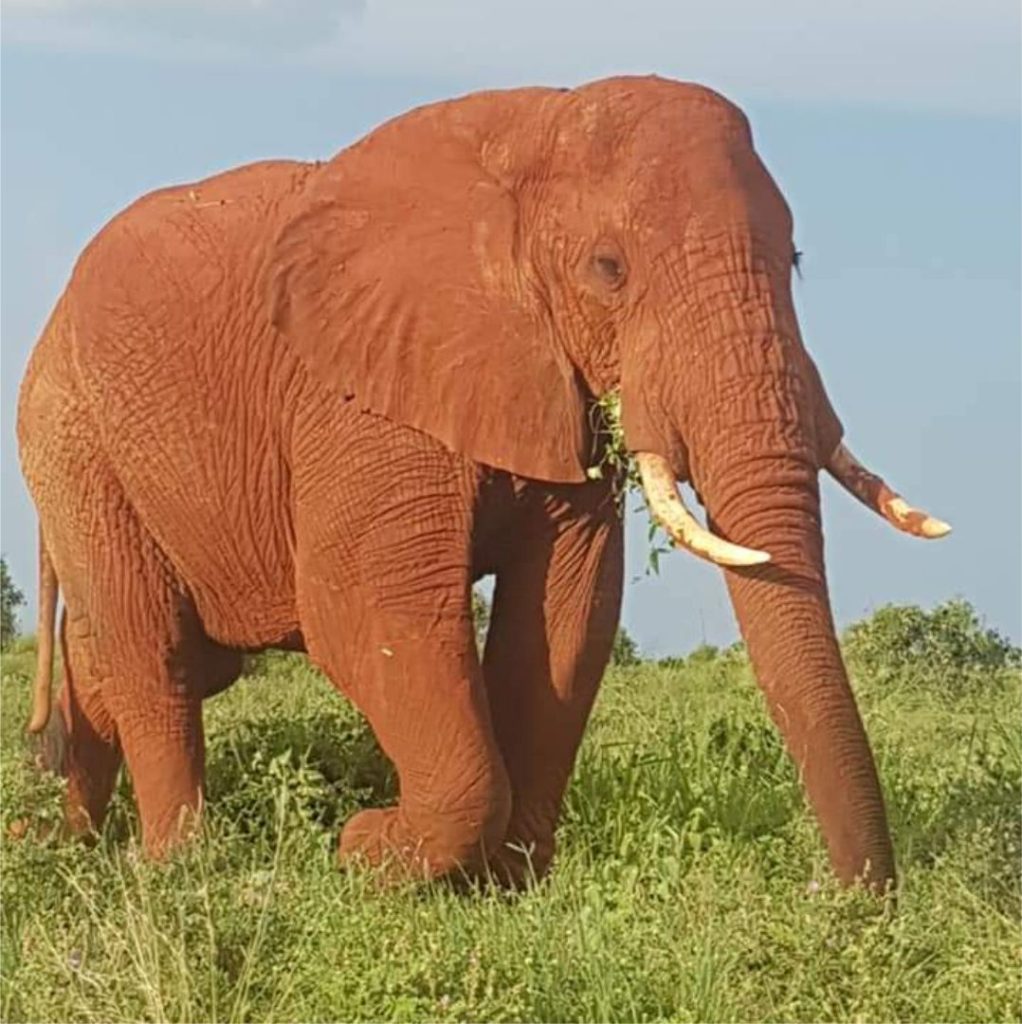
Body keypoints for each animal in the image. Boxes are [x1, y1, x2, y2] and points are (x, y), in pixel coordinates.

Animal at [18, 74, 950, 888]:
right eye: (608, 269)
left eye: (795, 258)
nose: (846, 899)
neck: (528, 136)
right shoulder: (360, 398)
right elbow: (363, 606)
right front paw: (367, 852)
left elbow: (569, 613)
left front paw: (506, 885)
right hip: (72, 440)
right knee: (153, 652)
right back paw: (177, 866)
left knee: (127, 660)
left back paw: (61, 838)